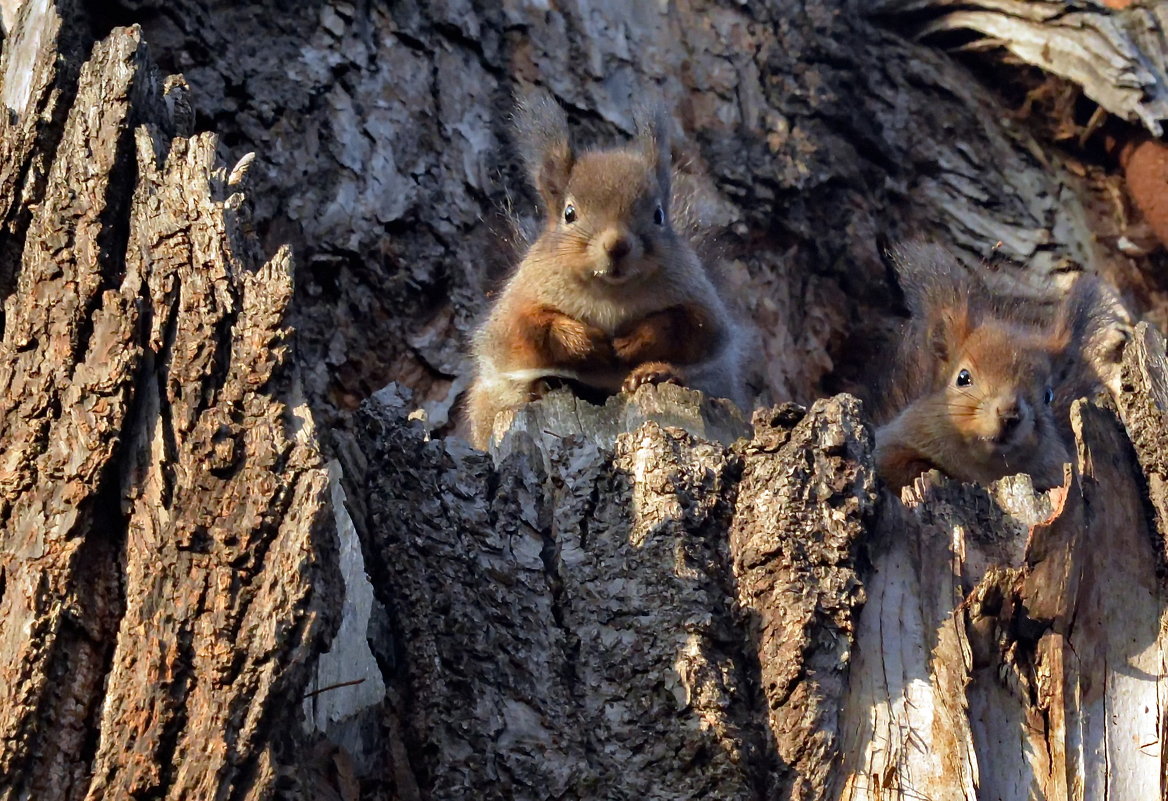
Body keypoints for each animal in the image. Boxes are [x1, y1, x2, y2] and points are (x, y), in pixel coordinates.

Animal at [462, 92, 742, 453]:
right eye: (569, 213)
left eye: (658, 214)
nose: (617, 245)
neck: (610, 290)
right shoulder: (518, 302)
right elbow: (522, 330)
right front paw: (582, 340)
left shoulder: (698, 298)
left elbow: (696, 328)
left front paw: (636, 339)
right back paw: (546, 384)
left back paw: (654, 373)